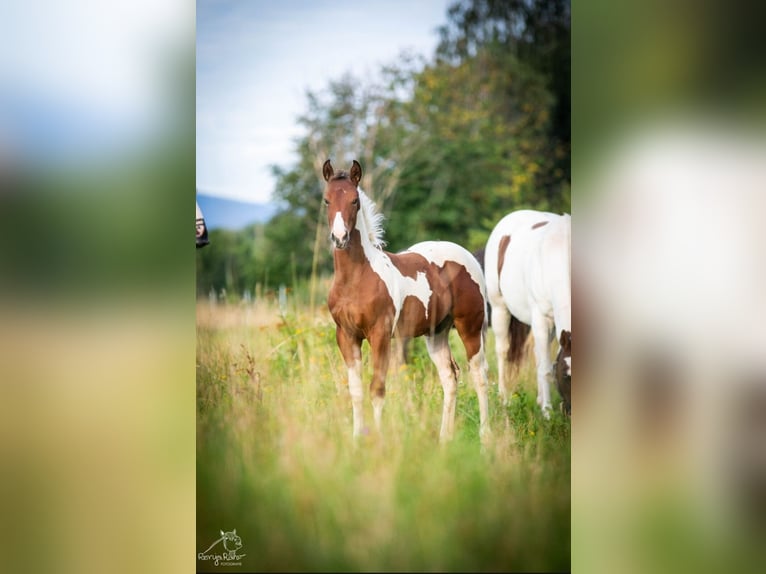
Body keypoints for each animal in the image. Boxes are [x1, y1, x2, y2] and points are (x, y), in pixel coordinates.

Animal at [324, 159, 492, 446]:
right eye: (326, 200)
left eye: (355, 200)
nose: (340, 238)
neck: (357, 279)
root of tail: (468, 257)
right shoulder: (346, 336)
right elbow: (356, 391)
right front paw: (357, 441)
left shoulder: (380, 334)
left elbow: (377, 389)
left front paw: (379, 442)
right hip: (436, 334)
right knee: (450, 377)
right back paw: (444, 439)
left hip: (470, 327)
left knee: (479, 375)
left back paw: (485, 438)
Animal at [486, 212, 568, 418]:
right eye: (566, 375)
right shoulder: (542, 318)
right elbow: (546, 369)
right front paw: (547, 413)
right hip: (499, 309)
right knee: (503, 350)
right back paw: (503, 397)